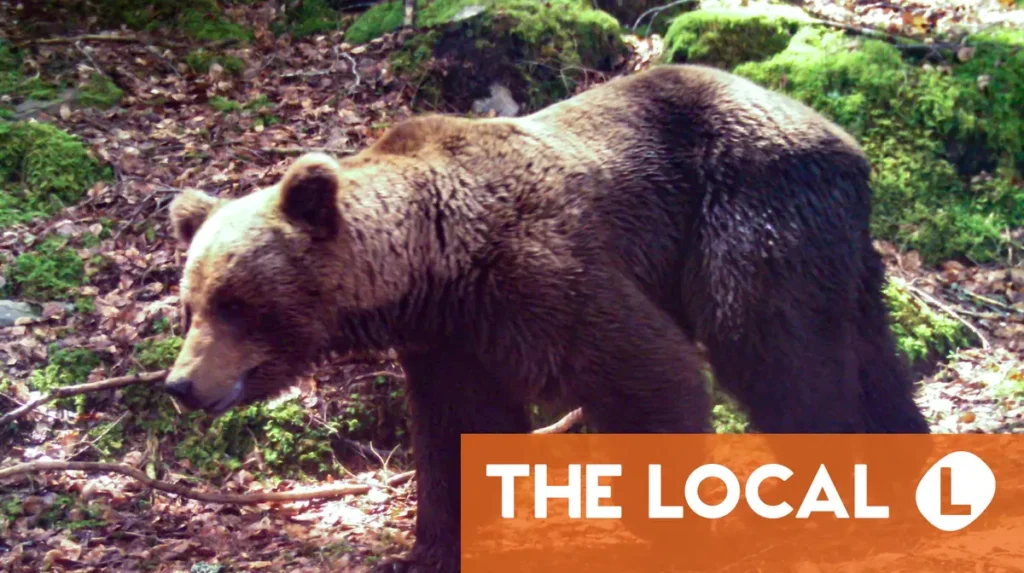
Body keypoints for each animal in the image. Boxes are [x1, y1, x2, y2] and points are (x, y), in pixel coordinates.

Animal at [164, 64, 930, 573]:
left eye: (235, 303)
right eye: (190, 305)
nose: (181, 384)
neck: (436, 264)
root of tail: (845, 142)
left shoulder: (544, 273)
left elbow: (652, 376)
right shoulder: (452, 343)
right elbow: (456, 435)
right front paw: (427, 551)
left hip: (749, 216)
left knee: (779, 356)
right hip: (835, 253)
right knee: (870, 359)